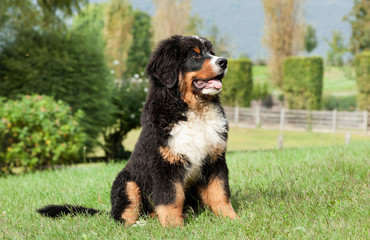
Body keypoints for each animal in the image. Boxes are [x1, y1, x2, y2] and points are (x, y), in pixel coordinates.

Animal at [37, 35, 238, 227]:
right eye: (195, 55)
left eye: (212, 53)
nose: (224, 61)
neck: (194, 110)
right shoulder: (164, 163)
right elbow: (170, 198)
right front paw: (174, 227)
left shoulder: (215, 159)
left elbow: (220, 193)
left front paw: (232, 220)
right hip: (127, 184)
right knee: (122, 216)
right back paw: (138, 225)